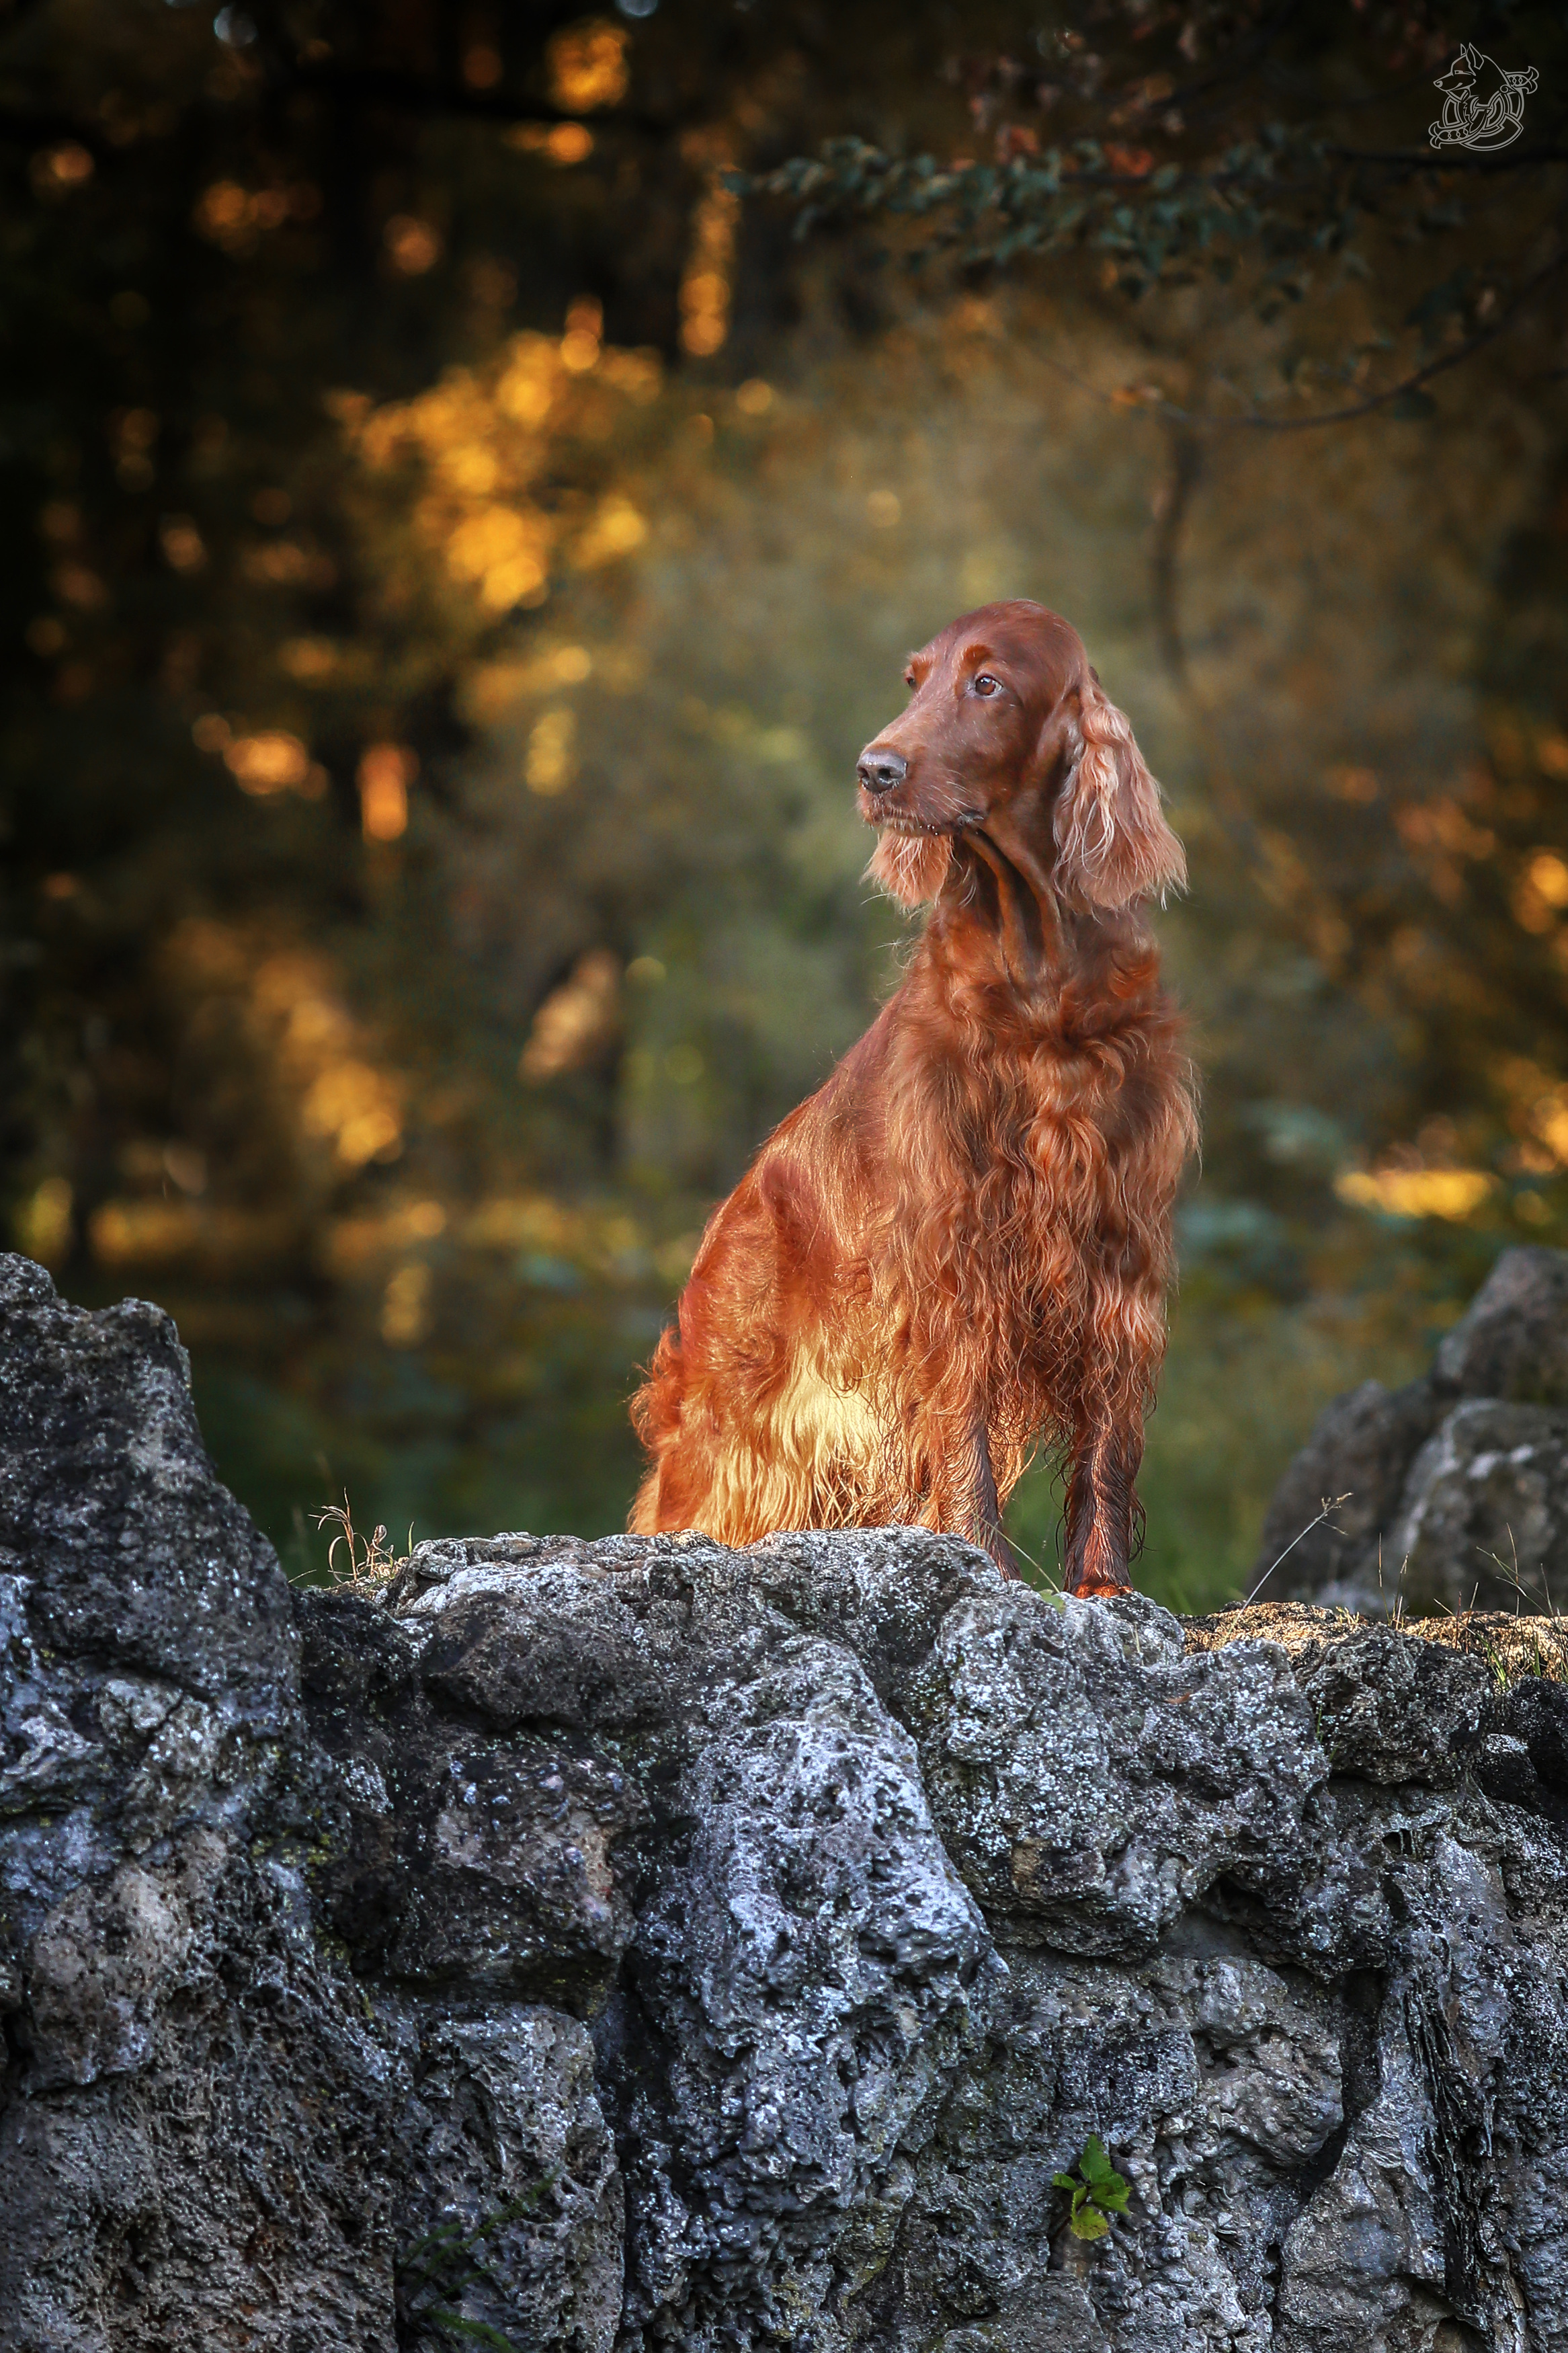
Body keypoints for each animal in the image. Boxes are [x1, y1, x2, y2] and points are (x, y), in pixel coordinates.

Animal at [625, 602, 1189, 1600]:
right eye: (912, 680)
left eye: (986, 683)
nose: (873, 769)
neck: (1039, 975)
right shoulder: (953, 1251)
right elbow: (961, 1428)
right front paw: (984, 1565)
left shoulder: (1118, 1245)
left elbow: (1109, 1444)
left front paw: (1104, 1587)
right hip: (726, 1438)